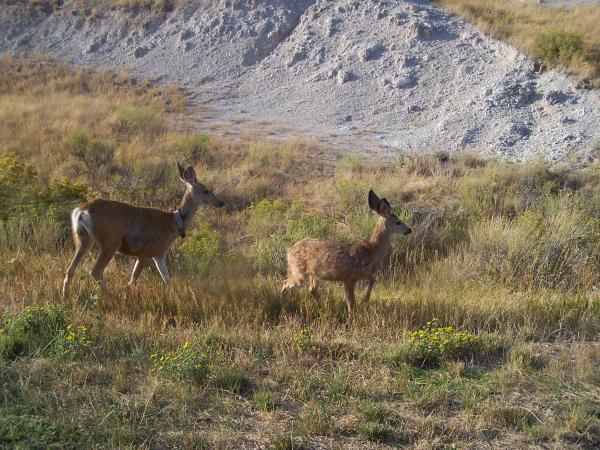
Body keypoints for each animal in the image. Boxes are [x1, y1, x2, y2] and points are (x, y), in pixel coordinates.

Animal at [62, 163, 224, 298]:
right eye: (206, 191)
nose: (221, 203)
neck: (174, 223)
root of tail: (82, 211)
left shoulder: (159, 254)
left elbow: (167, 279)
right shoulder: (146, 252)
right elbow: (134, 278)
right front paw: (125, 293)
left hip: (83, 238)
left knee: (71, 268)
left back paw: (65, 296)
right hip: (110, 240)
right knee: (95, 270)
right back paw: (111, 296)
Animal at [282, 192, 412, 314]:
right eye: (398, 222)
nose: (409, 230)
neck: (371, 252)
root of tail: (289, 251)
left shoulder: (364, 273)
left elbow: (372, 280)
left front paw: (363, 300)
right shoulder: (349, 277)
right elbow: (351, 301)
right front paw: (352, 316)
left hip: (314, 274)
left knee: (311, 289)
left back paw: (325, 306)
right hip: (298, 271)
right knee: (285, 282)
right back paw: (282, 302)